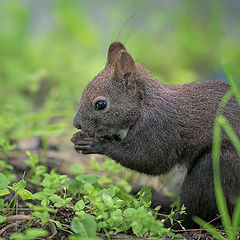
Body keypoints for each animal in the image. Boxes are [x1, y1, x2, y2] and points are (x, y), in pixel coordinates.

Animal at [71, 41, 240, 229]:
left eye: (101, 104)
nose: (76, 123)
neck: (143, 105)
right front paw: (79, 138)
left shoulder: (158, 130)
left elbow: (150, 160)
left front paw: (95, 144)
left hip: (218, 168)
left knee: (194, 213)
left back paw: (164, 222)